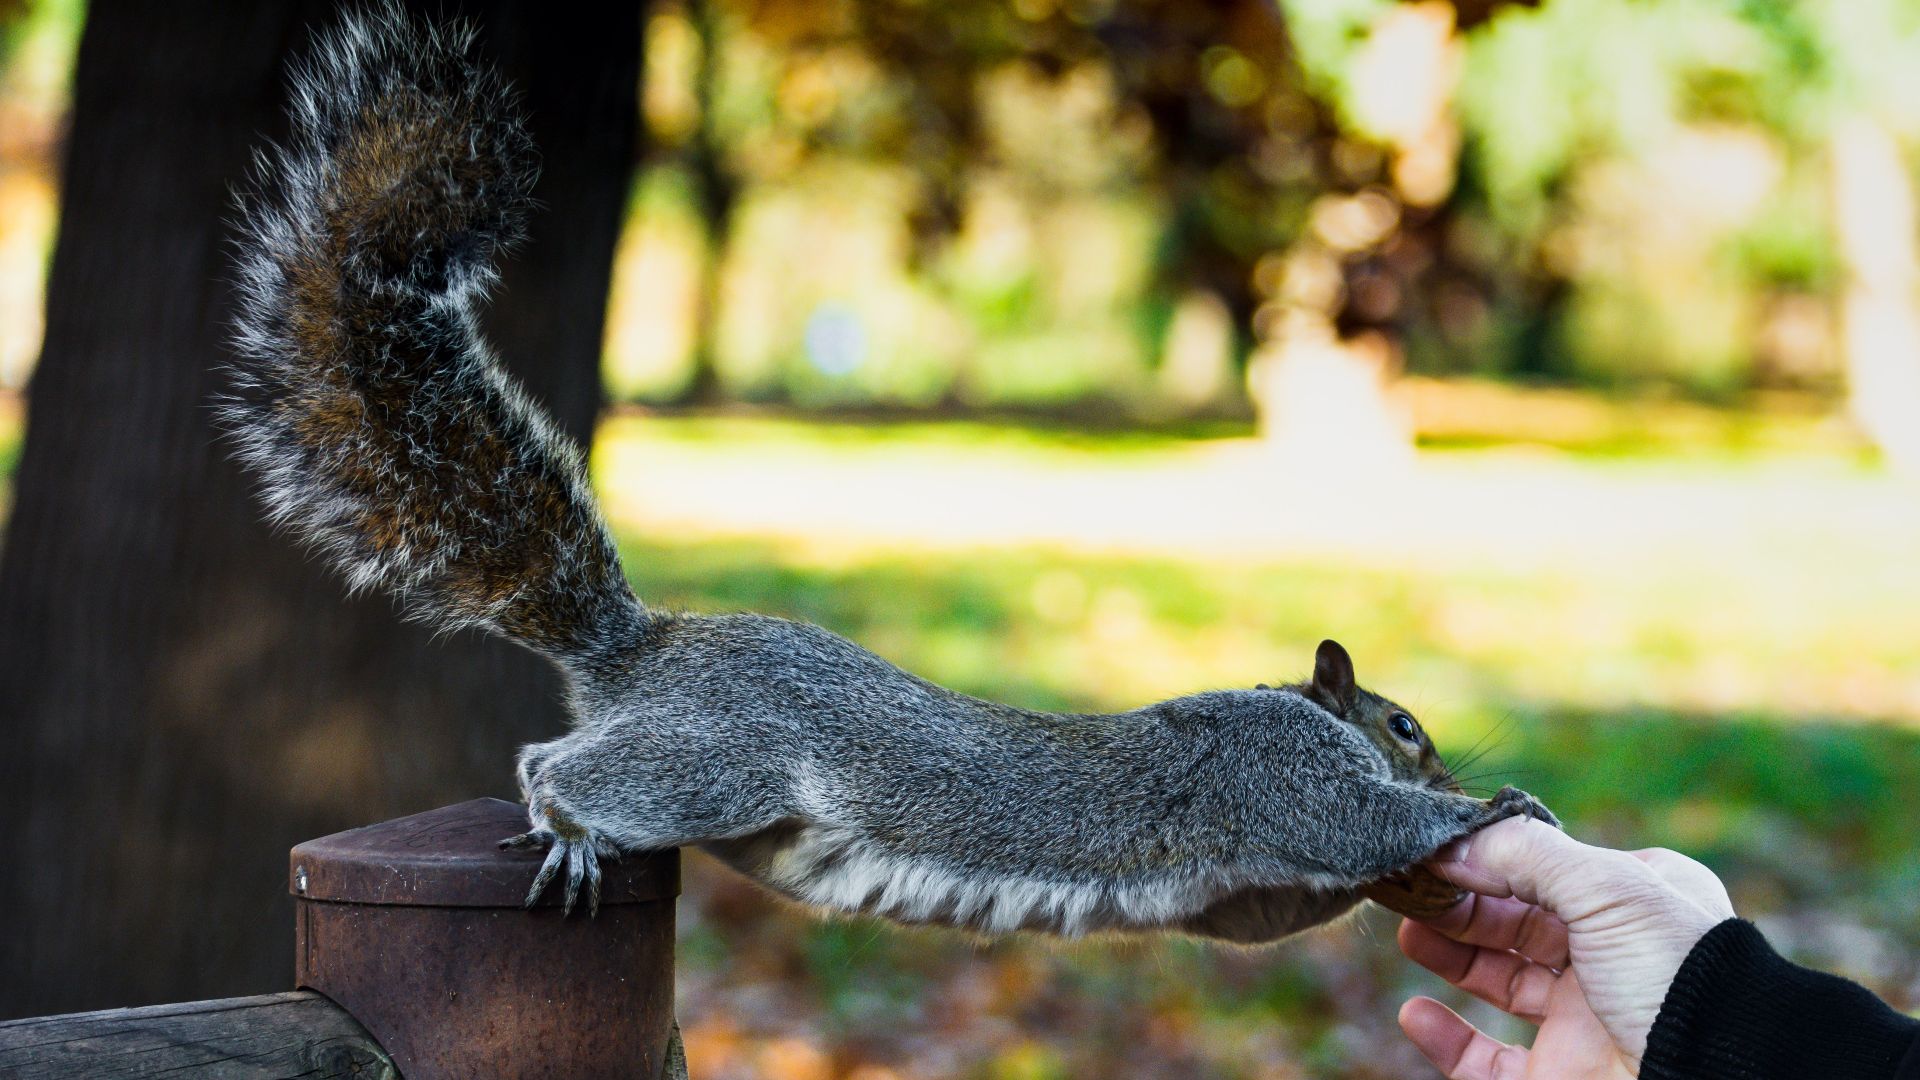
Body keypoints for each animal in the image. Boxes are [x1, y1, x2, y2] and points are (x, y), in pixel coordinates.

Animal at [224, 7, 1556, 941]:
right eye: (1404, 723)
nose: (1450, 763)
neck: (1294, 707)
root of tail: (646, 652)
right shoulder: (1280, 775)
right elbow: (1366, 820)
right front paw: (1491, 810)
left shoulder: (1248, 888)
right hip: (712, 763)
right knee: (559, 771)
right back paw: (569, 828)